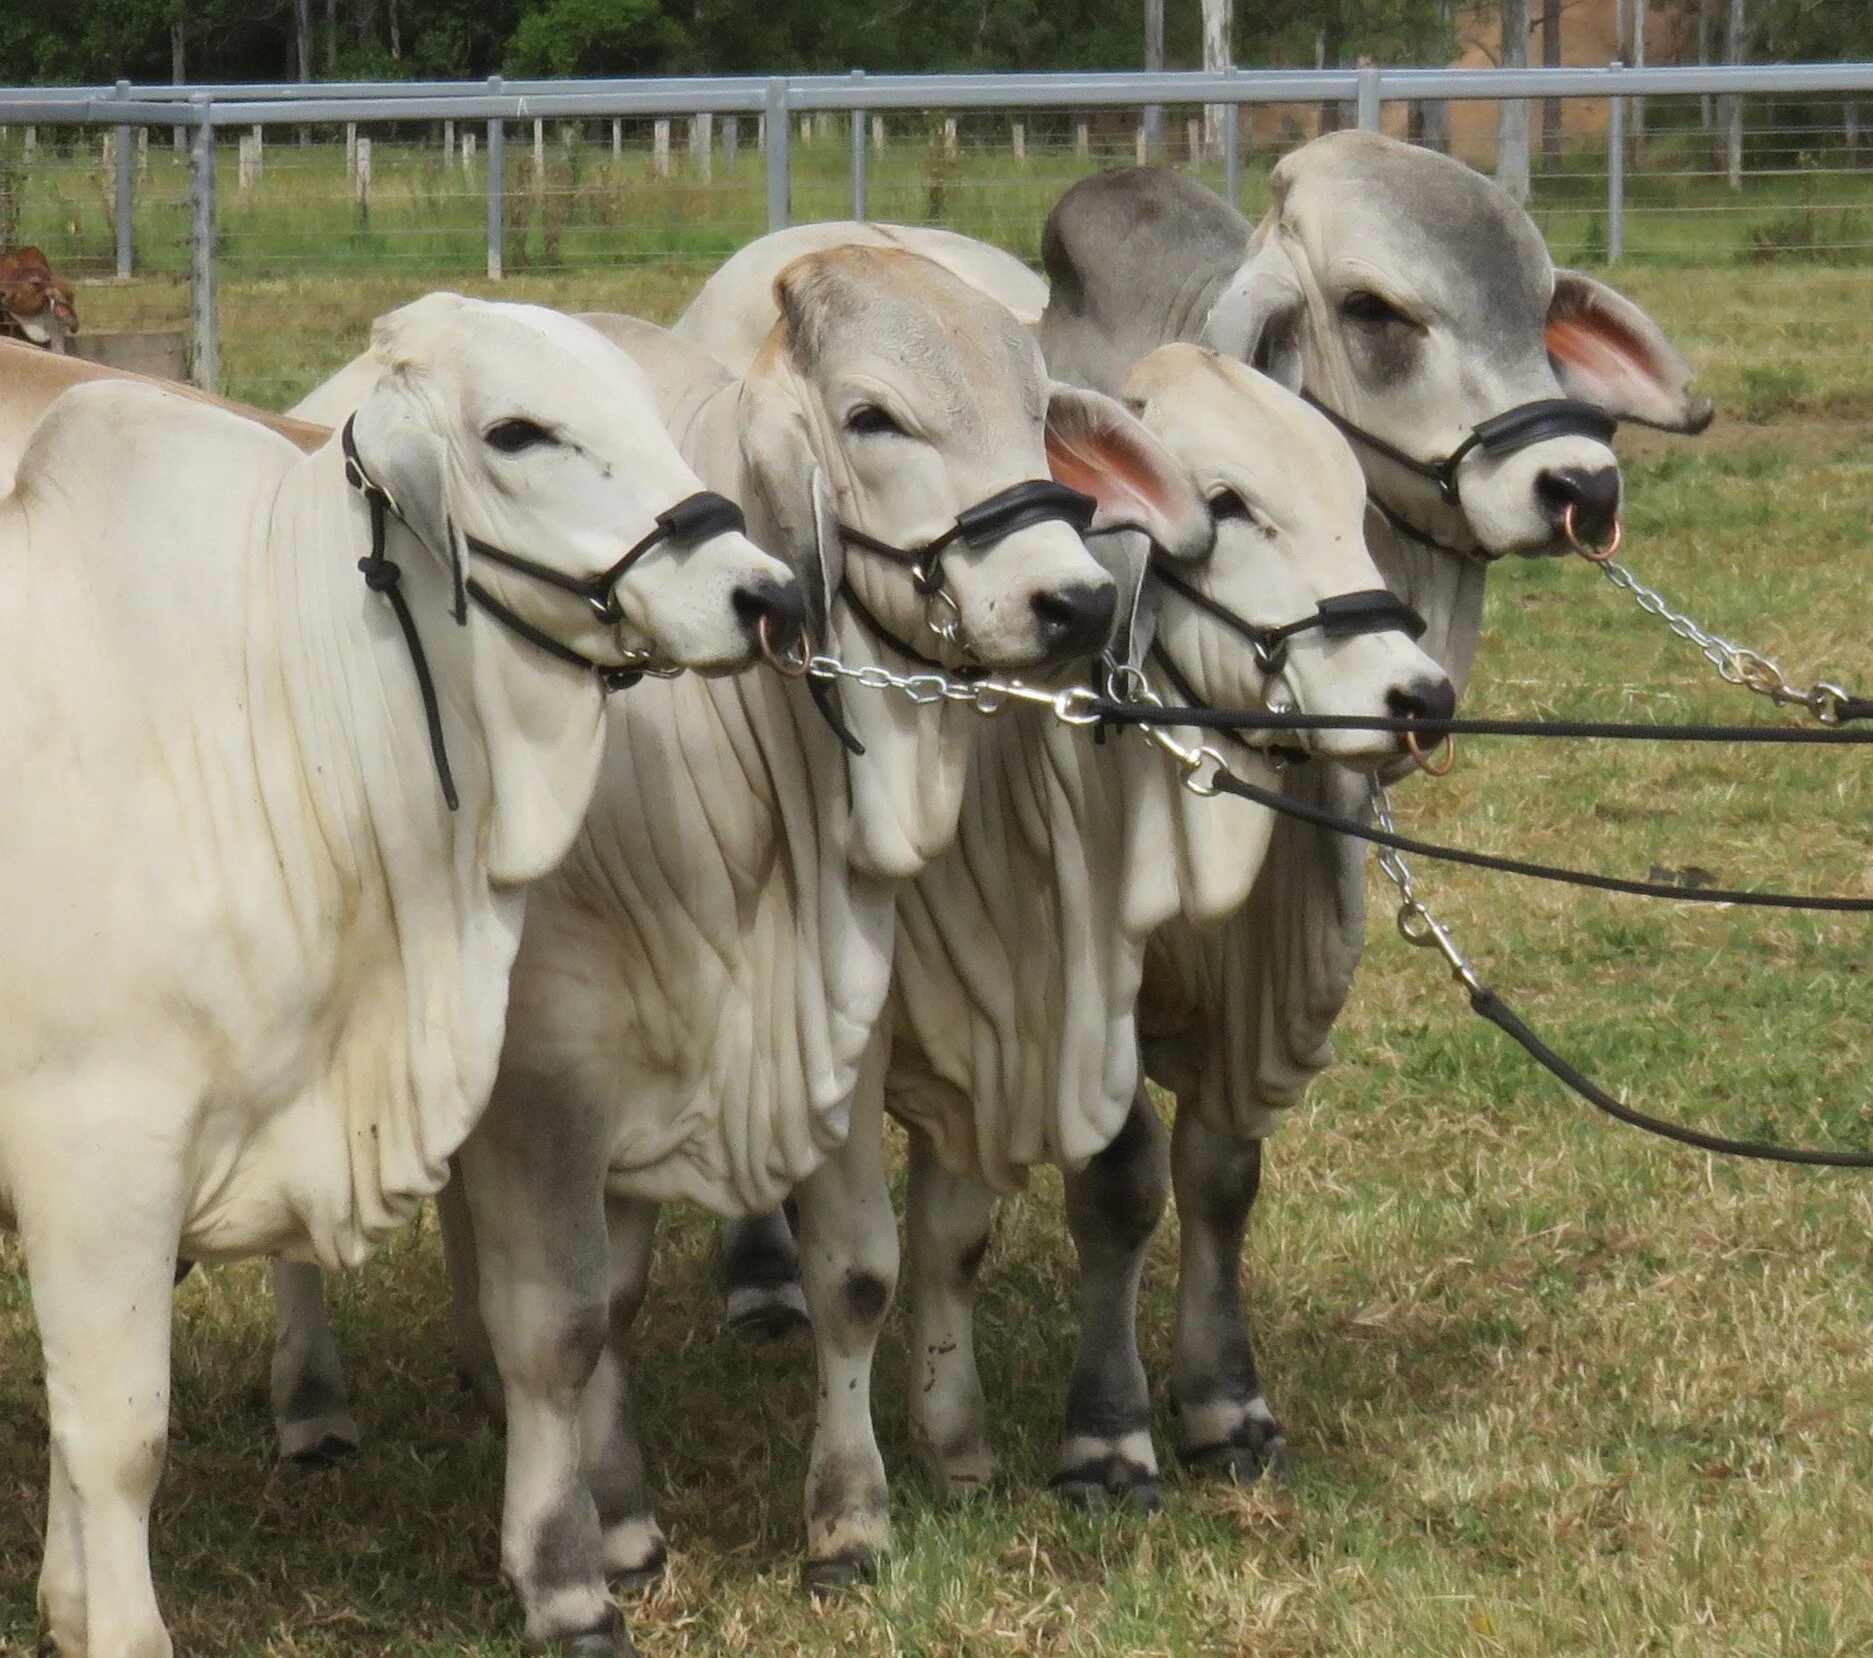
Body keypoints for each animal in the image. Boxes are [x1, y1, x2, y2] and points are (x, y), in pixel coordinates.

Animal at [0, 292, 800, 1658]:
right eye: (517, 431)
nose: (760, 594)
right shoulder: (94, 1152)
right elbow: (119, 1436)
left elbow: (73, 1424)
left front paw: (61, 1605)